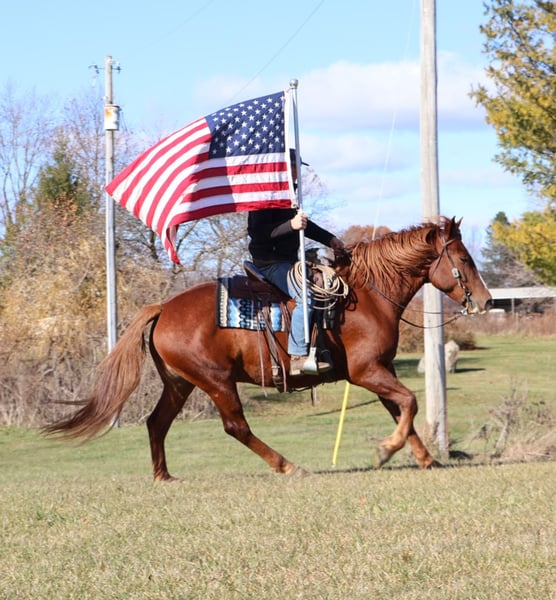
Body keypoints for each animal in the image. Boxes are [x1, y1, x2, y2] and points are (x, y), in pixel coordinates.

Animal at [45, 217, 492, 480]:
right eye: (464, 258)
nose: (486, 301)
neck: (366, 294)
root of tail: (163, 308)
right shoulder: (367, 371)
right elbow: (409, 403)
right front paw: (386, 451)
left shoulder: (382, 369)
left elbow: (402, 410)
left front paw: (424, 459)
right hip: (216, 381)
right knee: (236, 427)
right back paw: (287, 465)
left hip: (179, 383)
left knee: (157, 423)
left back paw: (163, 476)